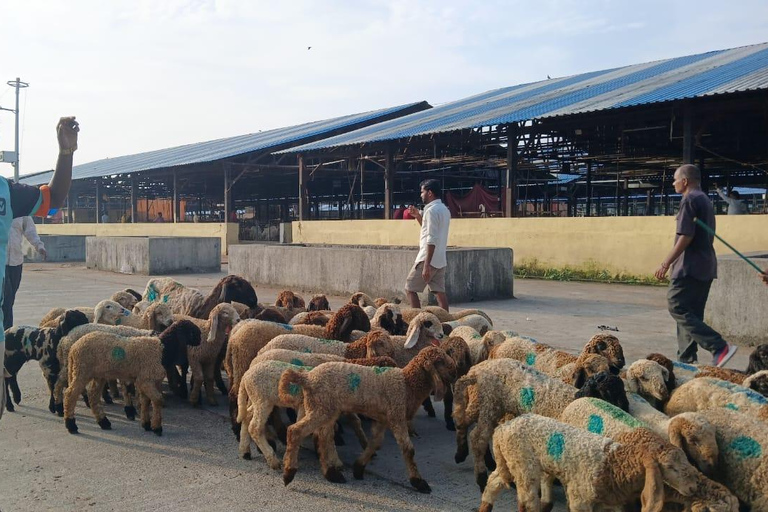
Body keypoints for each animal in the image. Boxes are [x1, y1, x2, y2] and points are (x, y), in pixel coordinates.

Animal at [63, 322, 201, 434]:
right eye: (194, 332)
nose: (200, 340)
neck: (162, 349)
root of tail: (74, 347)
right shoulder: (146, 380)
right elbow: (157, 400)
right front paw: (157, 428)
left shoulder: (145, 380)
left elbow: (146, 401)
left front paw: (146, 424)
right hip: (82, 370)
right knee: (70, 394)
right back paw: (71, 425)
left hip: (98, 374)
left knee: (93, 396)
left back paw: (104, 422)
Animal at [280, 344, 456, 492]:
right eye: (441, 362)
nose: (455, 374)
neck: (407, 385)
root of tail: (307, 377)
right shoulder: (397, 416)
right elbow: (408, 450)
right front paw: (419, 482)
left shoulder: (383, 419)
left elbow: (375, 443)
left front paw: (358, 468)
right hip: (320, 407)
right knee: (295, 431)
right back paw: (289, 473)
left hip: (326, 408)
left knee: (322, 437)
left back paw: (331, 474)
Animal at [450, 358, 632, 490]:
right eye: (605, 392)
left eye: (622, 390)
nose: (625, 409)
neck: (572, 400)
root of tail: (479, 368)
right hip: (490, 401)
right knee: (478, 437)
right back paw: (481, 478)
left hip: (489, 403)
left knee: (465, 421)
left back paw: (463, 454)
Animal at [474, 414, 704, 512]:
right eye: (670, 468)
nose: (693, 487)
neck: (615, 463)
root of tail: (502, 429)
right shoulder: (580, 498)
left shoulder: (609, 503)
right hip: (524, 462)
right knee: (527, 499)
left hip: (511, 460)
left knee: (495, 481)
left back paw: (485, 506)